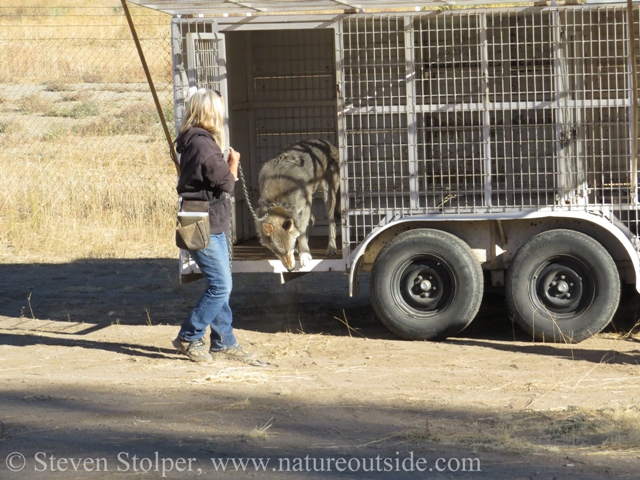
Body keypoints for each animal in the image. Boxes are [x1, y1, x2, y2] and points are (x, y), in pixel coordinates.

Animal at [256, 139, 342, 270]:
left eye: (289, 249)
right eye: (278, 252)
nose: (290, 269)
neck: (279, 198)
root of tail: (327, 142)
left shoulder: (306, 205)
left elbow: (301, 231)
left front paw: (305, 255)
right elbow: (301, 230)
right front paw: (301, 249)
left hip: (327, 196)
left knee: (331, 221)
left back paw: (331, 248)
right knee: (312, 219)